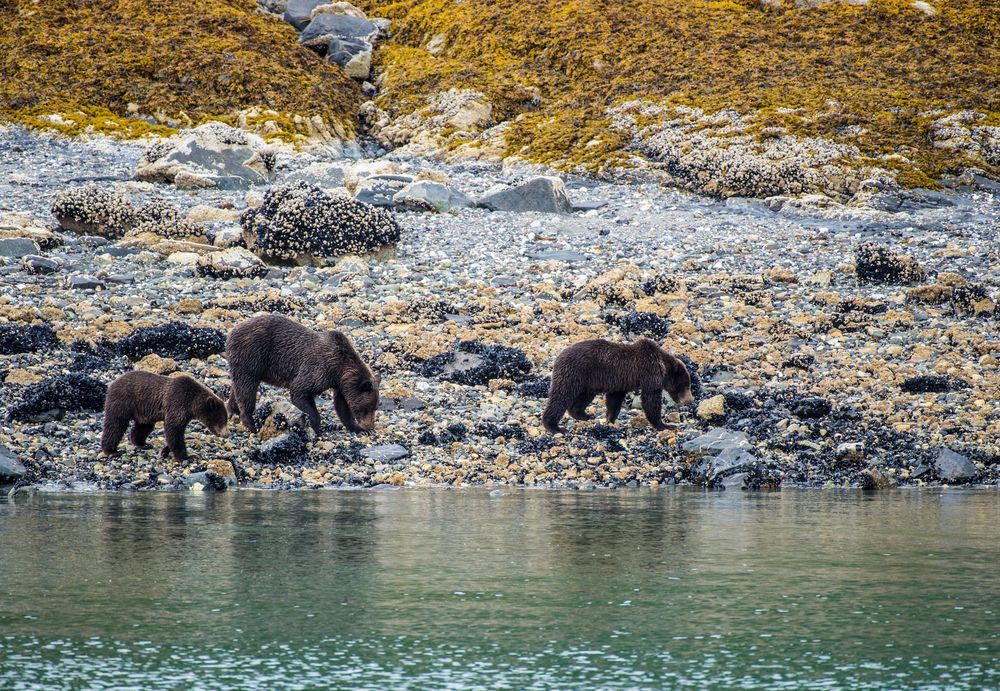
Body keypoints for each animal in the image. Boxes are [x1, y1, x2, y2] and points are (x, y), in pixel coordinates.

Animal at [99, 370, 229, 462]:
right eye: (222, 419)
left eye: (226, 419)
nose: (226, 434)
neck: (192, 404)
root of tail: (112, 383)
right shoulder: (178, 403)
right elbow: (174, 429)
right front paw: (187, 457)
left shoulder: (184, 413)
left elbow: (175, 432)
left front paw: (165, 451)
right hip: (122, 401)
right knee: (115, 424)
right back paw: (111, 450)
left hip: (144, 413)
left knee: (143, 427)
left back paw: (143, 444)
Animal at [225, 314, 380, 436]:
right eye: (368, 408)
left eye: (376, 407)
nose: (370, 425)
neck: (339, 368)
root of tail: (231, 332)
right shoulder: (319, 368)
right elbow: (300, 391)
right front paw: (316, 427)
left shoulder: (340, 384)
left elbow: (342, 406)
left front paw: (357, 428)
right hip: (251, 357)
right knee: (247, 389)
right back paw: (251, 424)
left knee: (238, 387)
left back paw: (232, 410)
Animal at [544, 340, 692, 432]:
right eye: (686, 385)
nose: (689, 400)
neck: (663, 366)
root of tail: (558, 357)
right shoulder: (649, 373)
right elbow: (651, 400)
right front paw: (665, 425)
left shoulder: (620, 382)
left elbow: (614, 399)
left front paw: (610, 419)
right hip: (574, 373)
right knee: (561, 396)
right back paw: (554, 426)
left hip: (588, 382)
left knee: (584, 397)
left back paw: (584, 415)